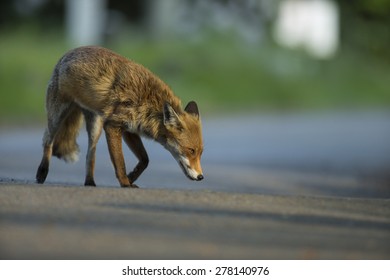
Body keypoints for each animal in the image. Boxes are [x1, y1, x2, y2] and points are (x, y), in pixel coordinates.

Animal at [36, 46, 204, 188]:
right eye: (191, 150)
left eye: (200, 152)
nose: (201, 177)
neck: (149, 103)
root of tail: (69, 52)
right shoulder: (113, 126)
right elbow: (120, 161)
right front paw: (125, 183)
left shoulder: (130, 130)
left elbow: (145, 160)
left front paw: (131, 177)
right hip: (57, 117)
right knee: (47, 141)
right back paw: (42, 172)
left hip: (95, 126)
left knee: (90, 155)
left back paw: (90, 182)